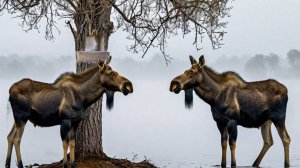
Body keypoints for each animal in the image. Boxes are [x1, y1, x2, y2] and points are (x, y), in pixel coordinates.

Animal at [4, 56, 132, 168]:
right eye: (112, 73)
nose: (129, 85)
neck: (84, 98)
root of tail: (9, 91)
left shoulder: (76, 122)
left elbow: (72, 143)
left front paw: (73, 164)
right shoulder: (65, 120)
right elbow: (65, 144)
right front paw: (65, 165)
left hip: (18, 119)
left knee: (9, 136)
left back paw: (7, 164)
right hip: (21, 117)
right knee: (17, 139)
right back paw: (20, 165)